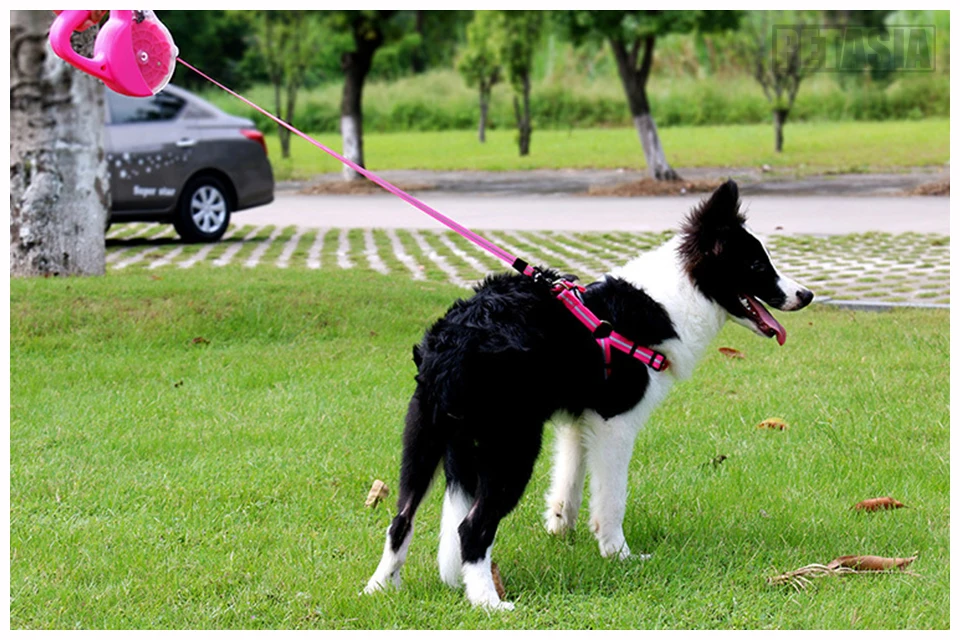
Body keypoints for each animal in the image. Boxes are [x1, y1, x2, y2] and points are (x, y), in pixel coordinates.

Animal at [364, 181, 812, 608]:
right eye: (757, 265)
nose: (806, 295)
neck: (674, 299)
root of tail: (451, 344)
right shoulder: (614, 423)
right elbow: (611, 499)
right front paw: (618, 555)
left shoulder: (579, 422)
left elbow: (568, 483)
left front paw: (560, 531)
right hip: (512, 448)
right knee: (471, 527)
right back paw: (487, 601)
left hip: (422, 441)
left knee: (400, 519)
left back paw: (380, 588)